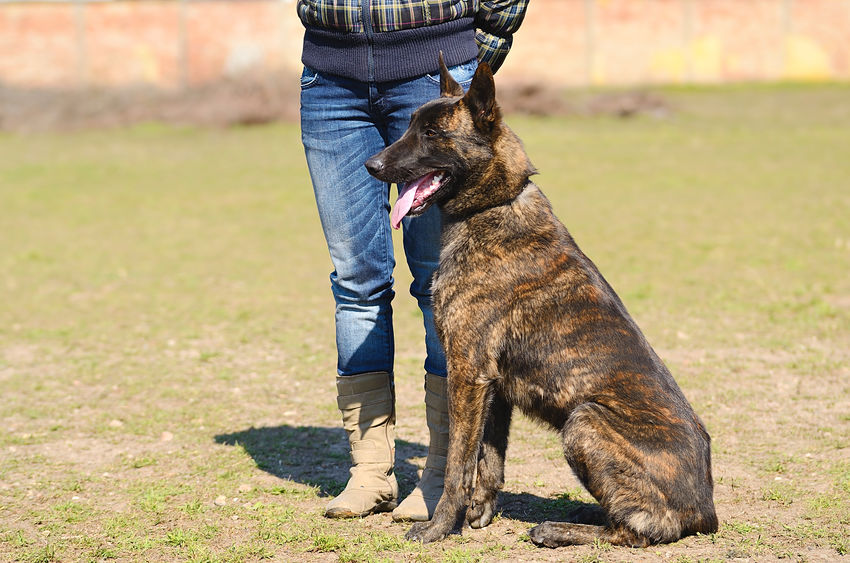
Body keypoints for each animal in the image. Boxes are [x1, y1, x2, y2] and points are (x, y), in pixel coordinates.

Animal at [364, 55, 716, 548]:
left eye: (432, 133)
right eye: (412, 126)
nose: (370, 164)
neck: (493, 205)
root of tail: (706, 511)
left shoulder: (467, 373)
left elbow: (458, 464)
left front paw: (439, 526)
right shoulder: (491, 386)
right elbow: (489, 459)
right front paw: (479, 514)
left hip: (584, 421)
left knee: (636, 530)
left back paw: (559, 529)